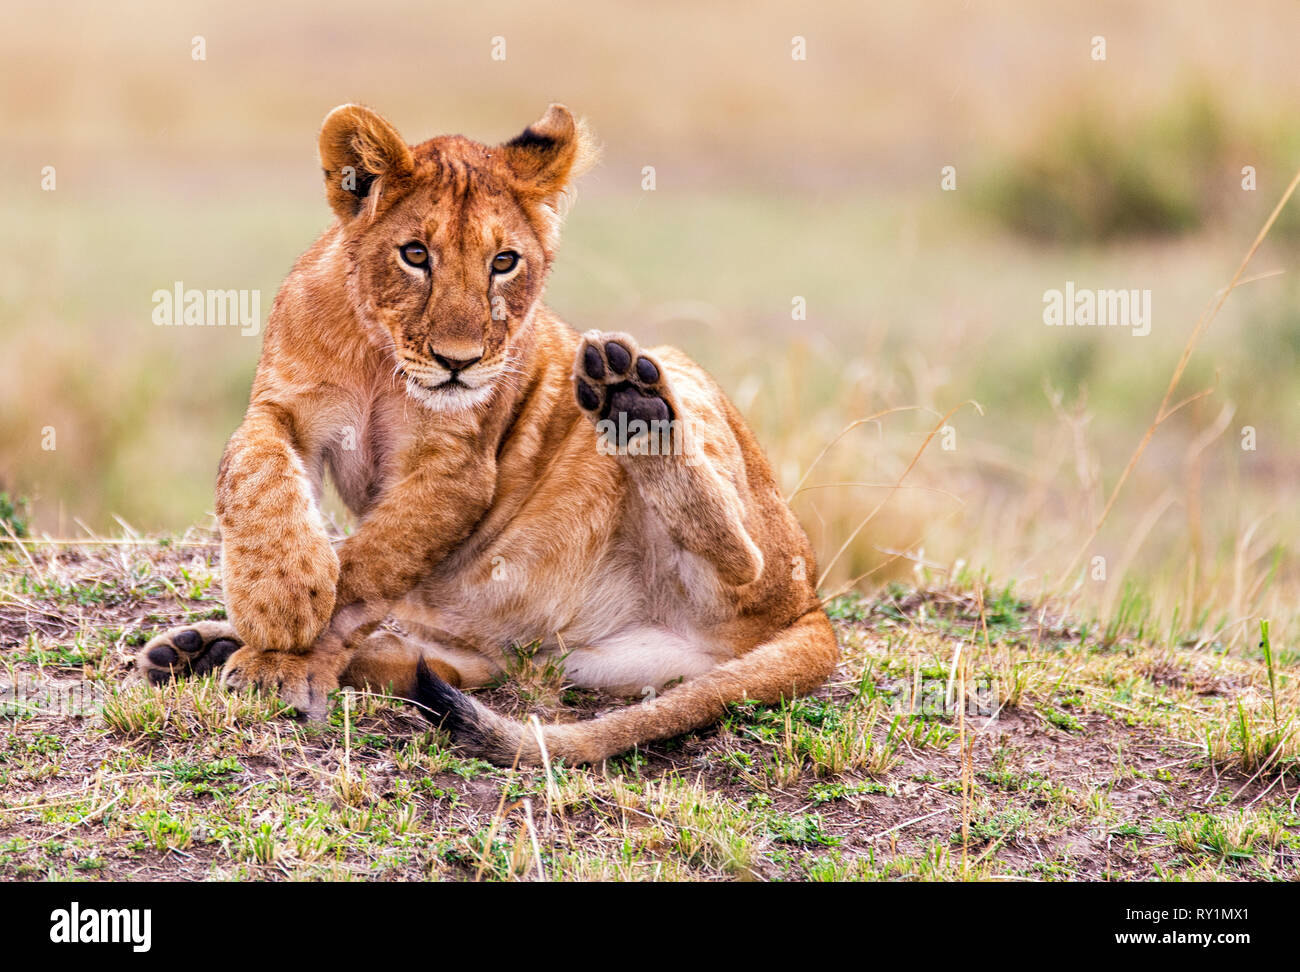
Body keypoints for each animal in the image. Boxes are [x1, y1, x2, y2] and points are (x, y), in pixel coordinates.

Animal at [135, 103, 839, 765]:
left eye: (504, 262)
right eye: (416, 254)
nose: (459, 362)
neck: (378, 358)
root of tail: (813, 609)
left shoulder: (456, 469)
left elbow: (363, 567)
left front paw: (280, 658)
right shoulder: (286, 408)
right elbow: (251, 466)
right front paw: (282, 598)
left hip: (688, 393)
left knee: (742, 560)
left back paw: (631, 404)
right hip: (570, 656)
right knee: (467, 667)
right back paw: (196, 648)